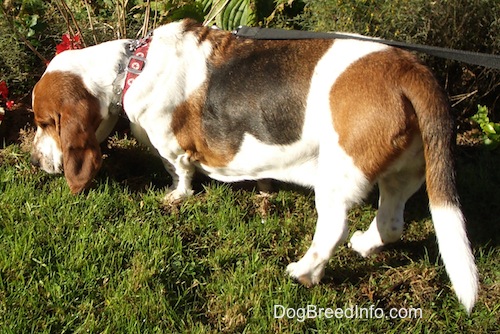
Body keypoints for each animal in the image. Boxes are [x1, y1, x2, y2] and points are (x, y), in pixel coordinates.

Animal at [30, 17, 476, 310]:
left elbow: (180, 173)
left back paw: (303, 271)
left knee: (333, 229)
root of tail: (410, 70)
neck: (131, 66)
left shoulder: (172, 149)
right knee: (391, 222)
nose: (33, 160)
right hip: (405, 172)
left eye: (44, 122)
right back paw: (364, 244)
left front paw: (175, 196)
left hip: (337, 175)